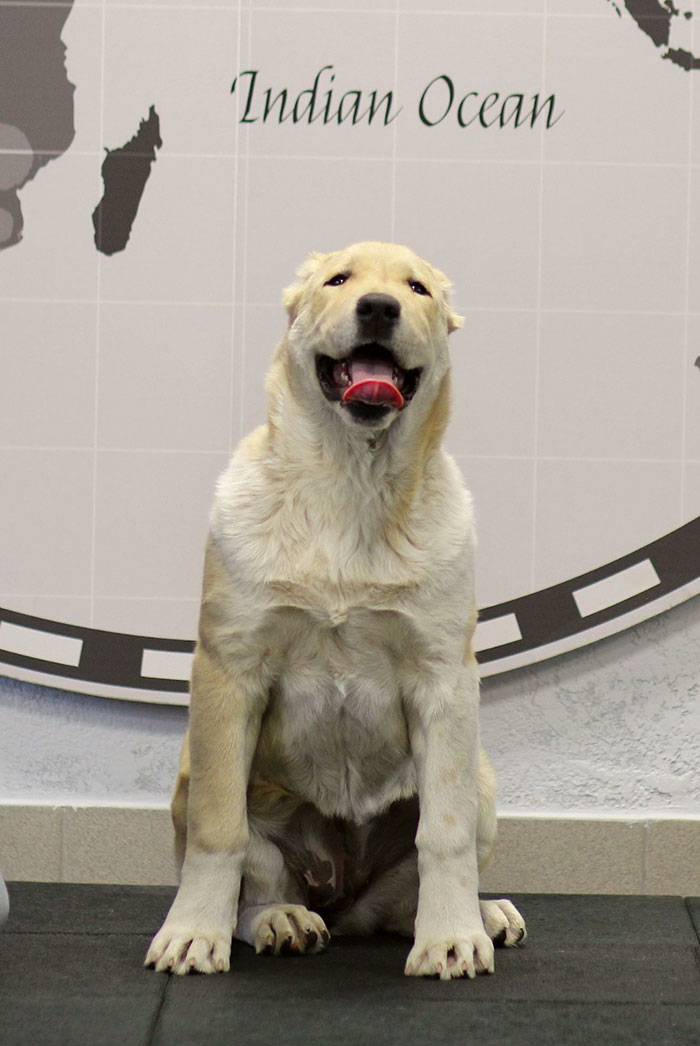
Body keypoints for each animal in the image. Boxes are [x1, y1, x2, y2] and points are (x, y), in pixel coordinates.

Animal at [146, 241, 526, 980]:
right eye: (338, 280)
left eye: (416, 288)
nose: (378, 307)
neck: (353, 481)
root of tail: (342, 895)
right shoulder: (228, 671)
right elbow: (218, 833)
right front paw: (192, 934)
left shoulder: (445, 681)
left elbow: (443, 835)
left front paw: (451, 940)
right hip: (198, 773)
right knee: (260, 878)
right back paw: (282, 919)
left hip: (482, 775)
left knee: (407, 896)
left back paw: (483, 915)